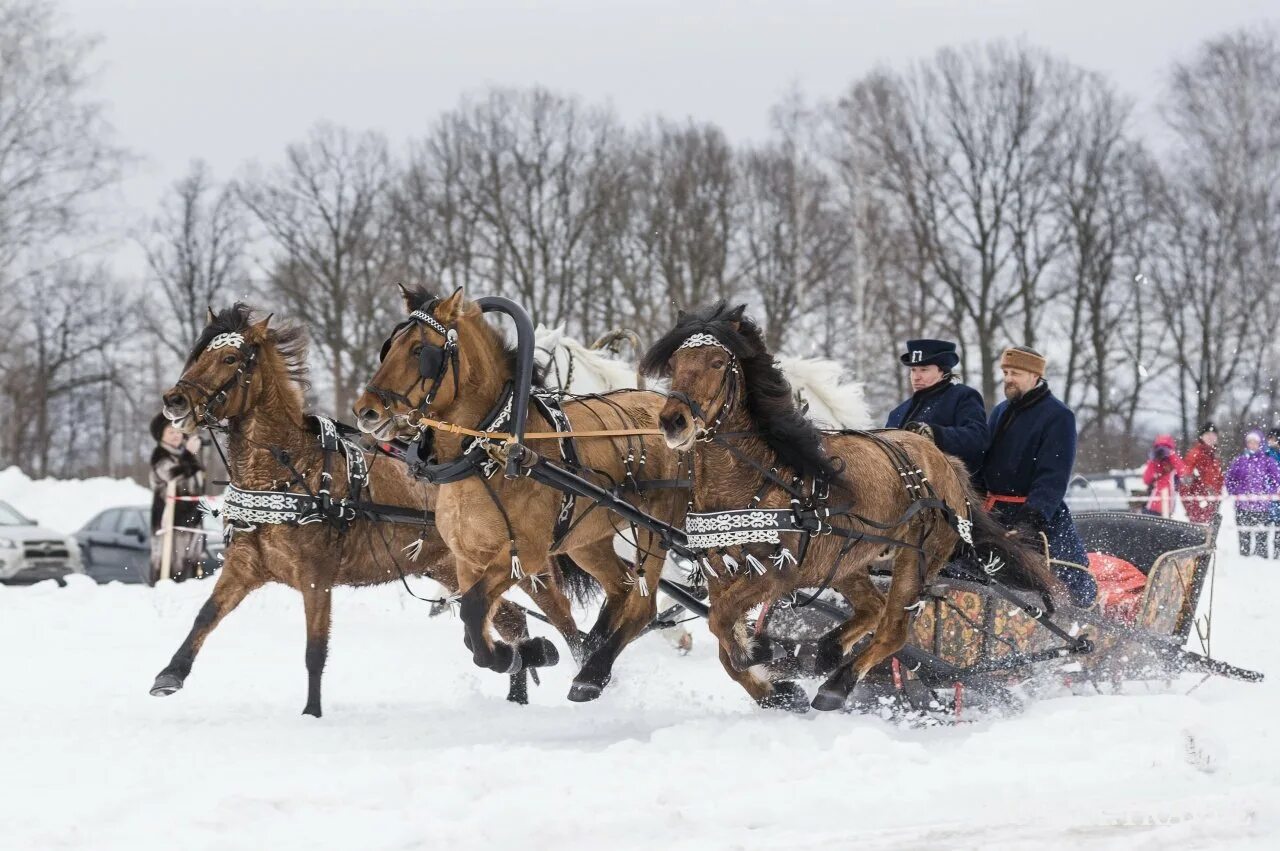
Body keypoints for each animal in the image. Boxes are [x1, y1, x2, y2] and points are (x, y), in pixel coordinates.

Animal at [149, 302, 581, 711]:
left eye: (229, 358)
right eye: (199, 355)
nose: (174, 401)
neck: (290, 470)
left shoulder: (316, 575)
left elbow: (315, 649)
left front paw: (311, 712)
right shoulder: (244, 565)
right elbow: (206, 615)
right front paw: (170, 674)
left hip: (525, 565)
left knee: (565, 621)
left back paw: (584, 673)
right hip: (452, 569)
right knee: (511, 618)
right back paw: (523, 674)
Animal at [350, 289, 691, 701]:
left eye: (420, 350)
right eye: (389, 347)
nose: (365, 411)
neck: (489, 452)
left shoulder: (524, 554)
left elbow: (474, 609)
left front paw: (531, 654)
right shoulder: (468, 558)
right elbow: (475, 629)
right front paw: (527, 654)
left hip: (656, 528)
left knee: (642, 603)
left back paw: (592, 675)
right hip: (588, 539)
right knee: (622, 587)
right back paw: (591, 655)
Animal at [640, 302, 1059, 711]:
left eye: (716, 362)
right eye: (675, 363)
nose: (673, 421)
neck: (755, 475)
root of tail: (944, 462)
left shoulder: (775, 572)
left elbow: (722, 622)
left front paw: (759, 652)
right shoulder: (719, 569)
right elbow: (723, 637)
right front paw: (775, 688)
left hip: (917, 558)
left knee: (893, 628)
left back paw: (836, 684)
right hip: (846, 560)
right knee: (872, 607)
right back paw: (826, 650)